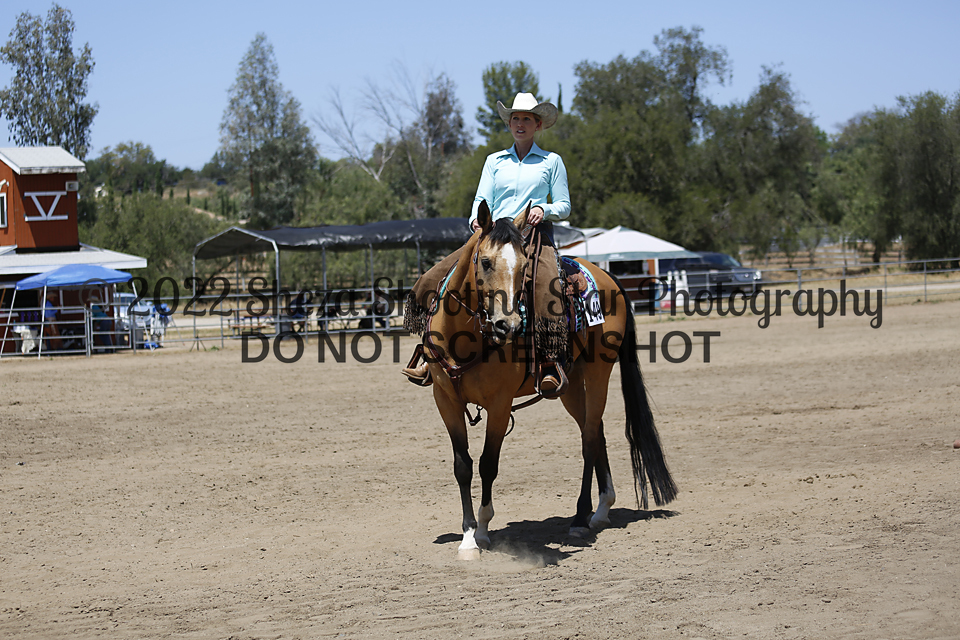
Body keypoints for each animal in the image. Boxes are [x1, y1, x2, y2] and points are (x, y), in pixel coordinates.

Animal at [420, 202, 677, 560]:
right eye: (485, 262)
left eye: (523, 264)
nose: (508, 326)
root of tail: (607, 275)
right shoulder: (446, 401)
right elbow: (463, 466)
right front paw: (468, 537)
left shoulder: (500, 405)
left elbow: (487, 464)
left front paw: (483, 531)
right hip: (570, 383)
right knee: (595, 430)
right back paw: (602, 510)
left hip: (599, 372)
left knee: (589, 438)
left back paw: (581, 518)